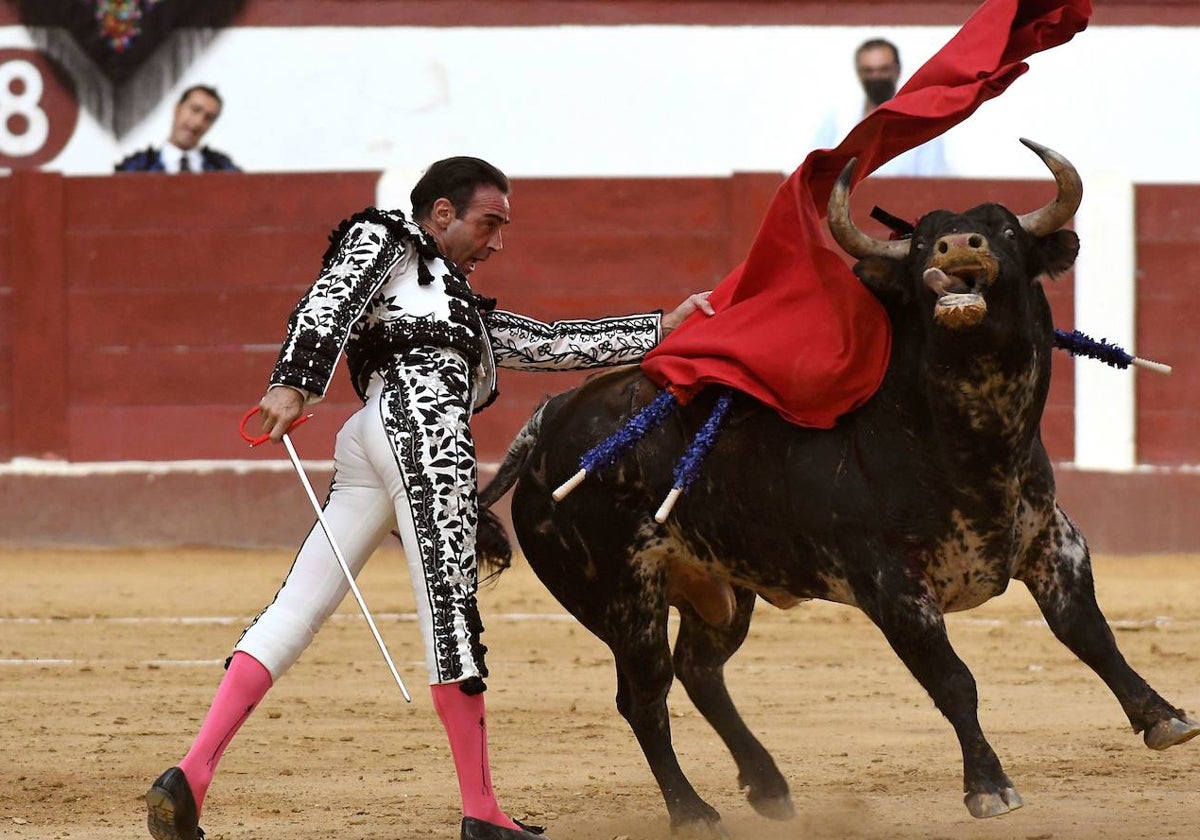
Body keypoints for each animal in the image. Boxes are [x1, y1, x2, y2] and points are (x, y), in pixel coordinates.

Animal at [472, 141, 1195, 835]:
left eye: (1006, 231)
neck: (969, 441)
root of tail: (549, 419)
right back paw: (693, 812)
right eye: (923, 242)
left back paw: (769, 787)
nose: (957, 247)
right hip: (624, 599)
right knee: (644, 696)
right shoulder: (892, 586)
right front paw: (989, 789)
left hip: (725, 589)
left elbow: (1090, 633)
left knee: (700, 670)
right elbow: (953, 680)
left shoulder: (1052, 542)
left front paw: (1163, 717)